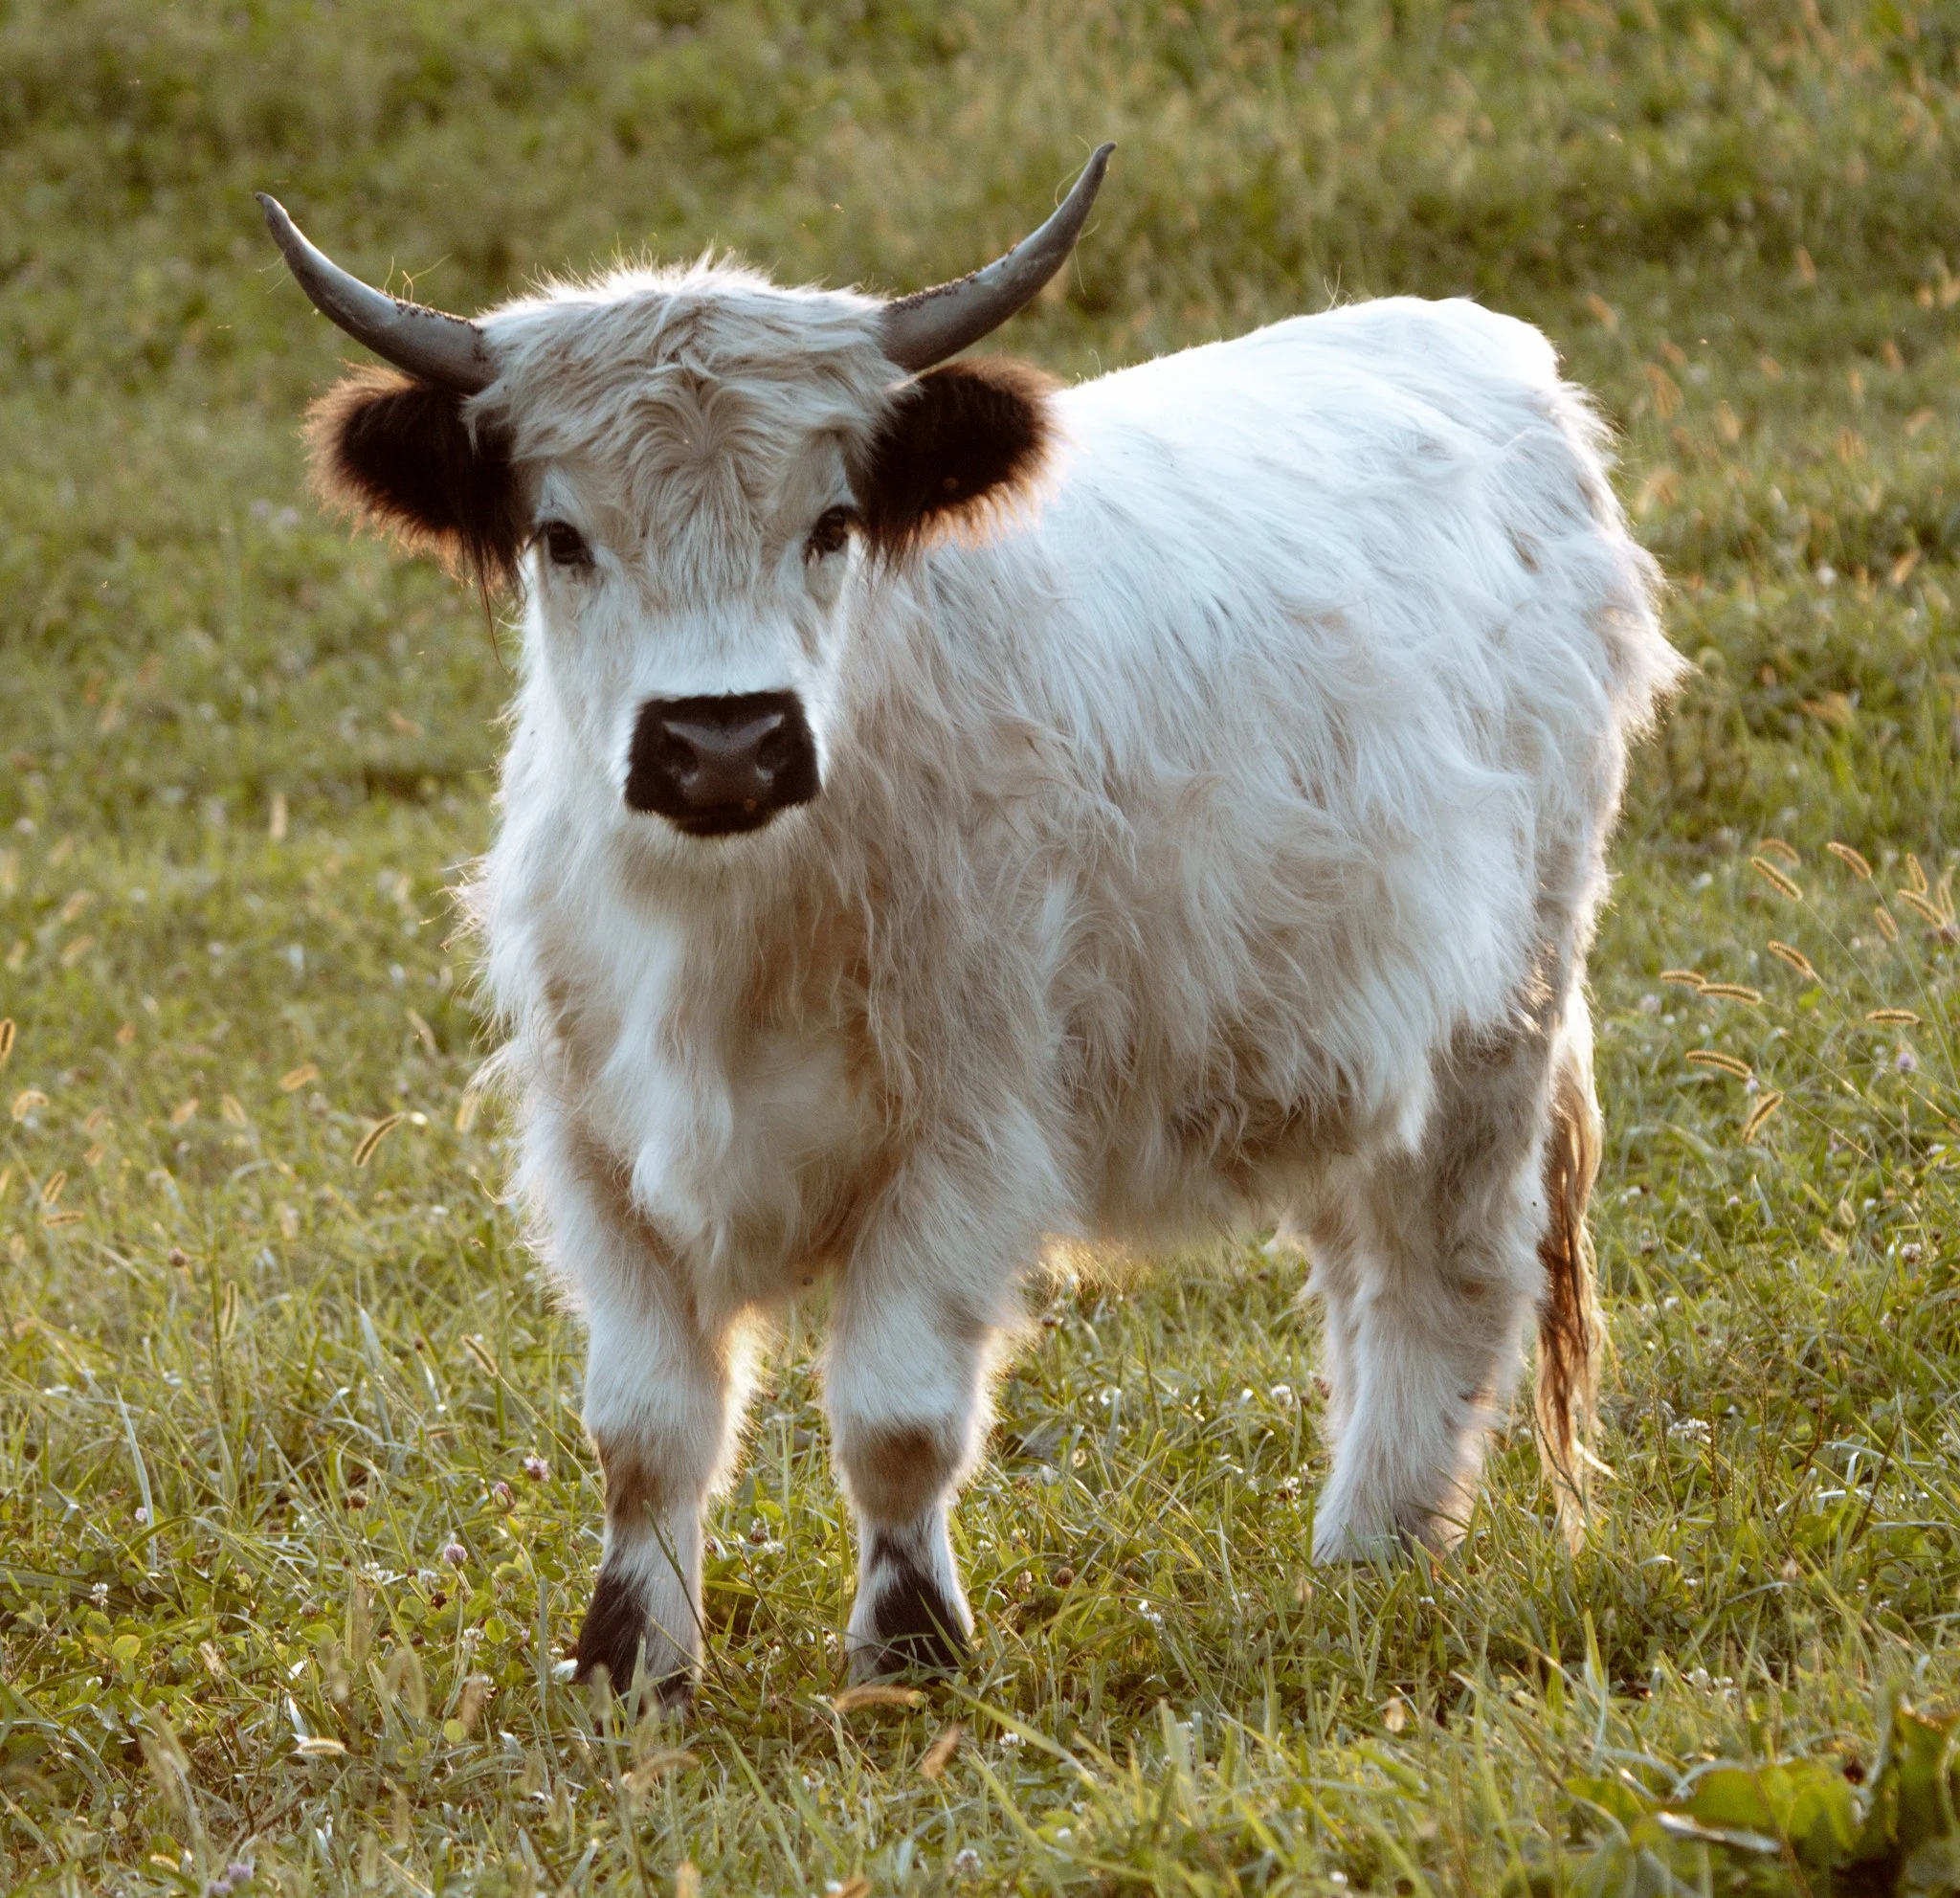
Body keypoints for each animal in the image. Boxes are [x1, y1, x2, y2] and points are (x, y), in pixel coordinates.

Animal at [258, 147, 1681, 1706]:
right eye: (560, 537)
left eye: (831, 523)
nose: (721, 744)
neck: (734, 936)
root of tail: (1488, 354)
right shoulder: (597, 1150)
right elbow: (644, 1424)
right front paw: (633, 1660)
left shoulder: (968, 1138)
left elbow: (894, 1411)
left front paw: (909, 1649)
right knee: (1363, 1276)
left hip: (1501, 1016)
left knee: (1451, 1271)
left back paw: (1374, 1546)